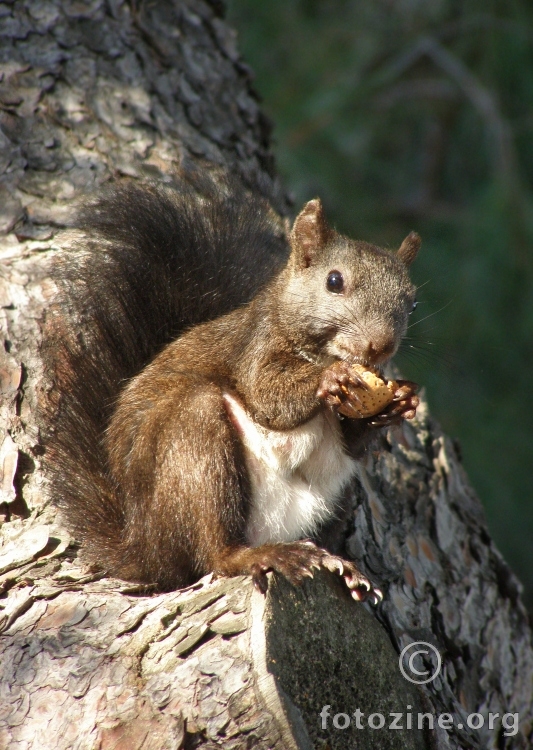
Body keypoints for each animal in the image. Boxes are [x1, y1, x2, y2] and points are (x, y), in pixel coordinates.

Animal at [43, 172, 420, 604]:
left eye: (411, 302)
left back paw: (340, 565)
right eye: (334, 281)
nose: (381, 346)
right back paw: (261, 556)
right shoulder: (253, 349)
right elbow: (268, 398)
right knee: (214, 554)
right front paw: (332, 379)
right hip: (195, 446)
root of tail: (143, 544)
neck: (319, 351)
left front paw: (400, 402)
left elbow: (352, 443)